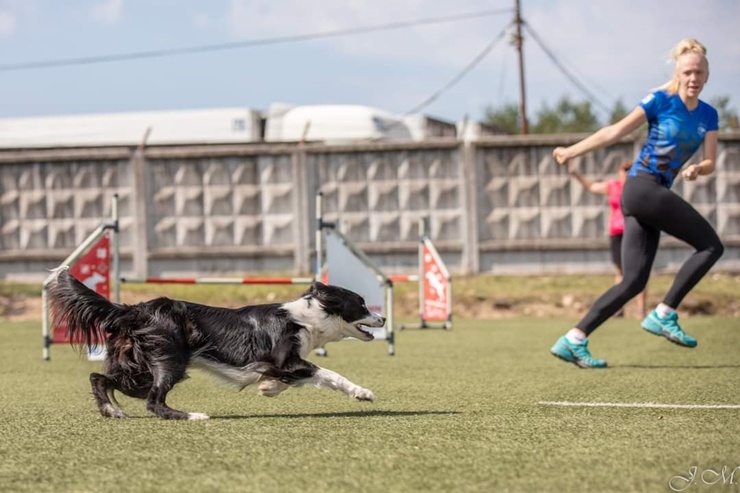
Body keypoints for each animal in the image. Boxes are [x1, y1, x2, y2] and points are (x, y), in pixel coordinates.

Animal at [46, 266, 384, 418]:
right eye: (362, 305)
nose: (382, 319)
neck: (307, 317)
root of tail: (133, 309)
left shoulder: (279, 364)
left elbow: (290, 378)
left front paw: (268, 388)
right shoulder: (285, 358)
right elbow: (326, 373)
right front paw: (363, 393)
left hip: (137, 368)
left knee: (99, 377)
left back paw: (111, 411)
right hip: (169, 359)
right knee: (154, 401)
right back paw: (193, 416)